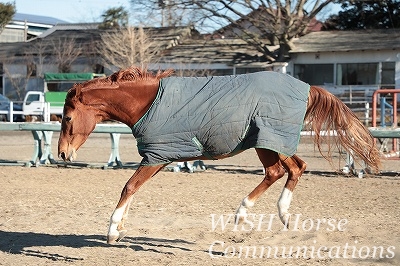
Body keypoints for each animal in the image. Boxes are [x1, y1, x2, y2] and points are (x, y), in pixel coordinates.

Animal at [57, 66, 380, 243]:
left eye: (67, 118)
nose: (62, 153)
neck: (148, 102)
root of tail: (307, 87)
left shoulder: (156, 157)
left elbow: (129, 186)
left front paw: (113, 230)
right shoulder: (159, 156)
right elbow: (133, 189)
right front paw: (121, 228)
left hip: (268, 140)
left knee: (283, 170)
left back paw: (245, 213)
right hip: (270, 141)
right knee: (293, 168)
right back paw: (281, 215)